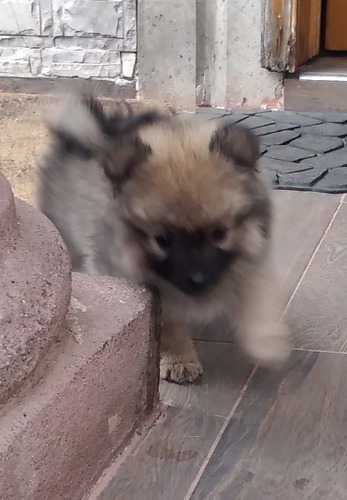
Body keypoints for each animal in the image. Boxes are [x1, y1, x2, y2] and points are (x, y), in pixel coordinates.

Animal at [38, 96, 292, 382]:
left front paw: (267, 340)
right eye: (162, 239)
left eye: (220, 233)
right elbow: (168, 326)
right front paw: (179, 360)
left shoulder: (249, 260)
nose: (197, 279)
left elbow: (258, 297)